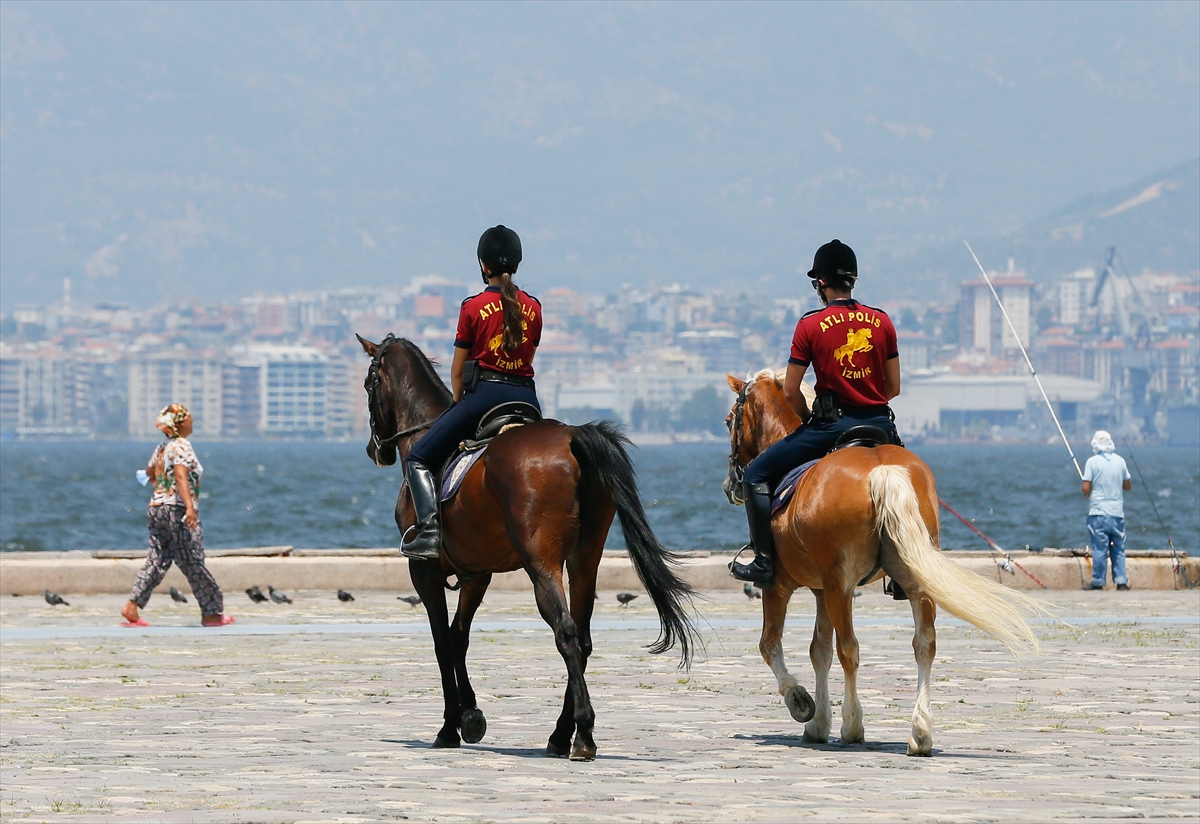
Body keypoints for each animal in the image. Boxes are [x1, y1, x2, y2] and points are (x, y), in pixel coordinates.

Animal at [355, 333, 700, 762]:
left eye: (369, 385)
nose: (375, 450)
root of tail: (570, 436)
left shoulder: (424, 572)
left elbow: (441, 643)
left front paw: (450, 725)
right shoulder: (477, 574)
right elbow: (459, 636)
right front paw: (471, 715)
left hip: (542, 562)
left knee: (566, 632)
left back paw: (582, 735)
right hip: (584, 559)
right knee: (582, 638)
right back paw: (561, 734)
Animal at [720, 371, 1051, 758]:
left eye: (730, 420)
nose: (731, 484)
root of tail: (882, 469)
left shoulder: (784, 586)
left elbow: (771, 645)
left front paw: (801, 702)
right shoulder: (820, 590)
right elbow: (819, 651)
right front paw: (818, 725)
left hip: (841, 586)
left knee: (849, 648)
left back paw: (853, 726)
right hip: (913, 578)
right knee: (924, 643)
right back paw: (920, 733)